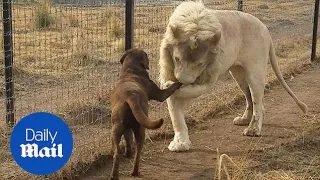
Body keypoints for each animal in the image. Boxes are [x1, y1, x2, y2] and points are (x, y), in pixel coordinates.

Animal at [109, 48, 180, 179]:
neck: (131, 70)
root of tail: (130, 96)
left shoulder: (127, 129)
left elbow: (128, 139)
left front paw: (128, 153)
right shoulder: (160, 94)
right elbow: (170, 88)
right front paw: (178, 82)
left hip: (117, 129)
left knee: (117, 153)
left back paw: (115, 174)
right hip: (141, 130)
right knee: (138, 153)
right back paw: (135, 172)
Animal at [158, 1, 308, 152]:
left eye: (200, 64)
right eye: (177, 59)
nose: (181, 81)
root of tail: (265, 28)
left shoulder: (210, 74)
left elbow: (191, 90)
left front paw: (170, 87)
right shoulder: (169, 70)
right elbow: (175, 115)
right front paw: (180, 143)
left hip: (255, 72)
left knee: (257, 102)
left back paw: (253, 129)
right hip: (238, 74)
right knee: (250, 98)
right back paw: (244, 120)